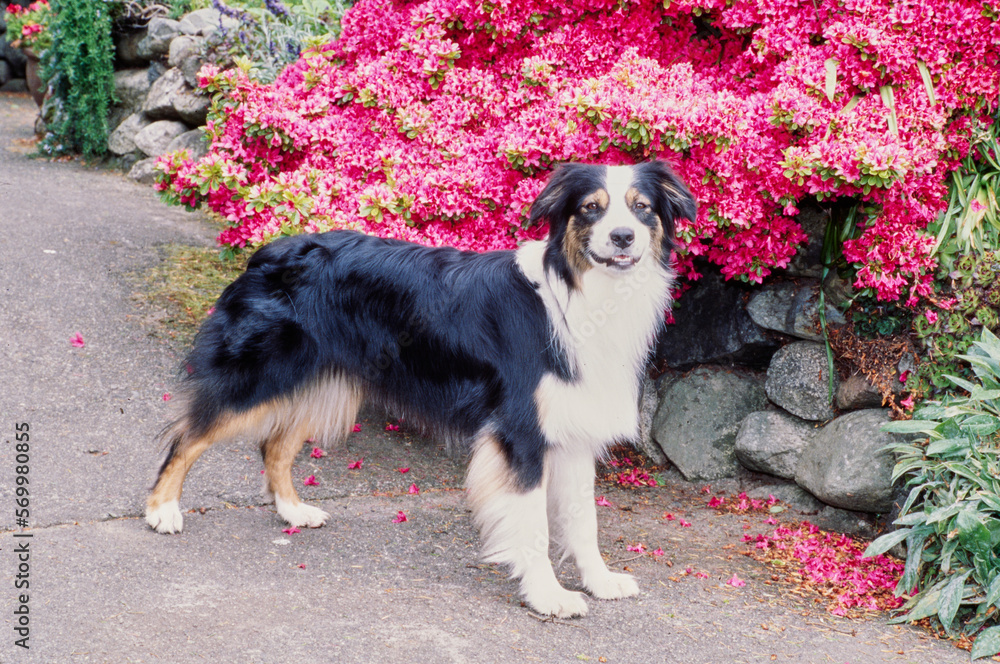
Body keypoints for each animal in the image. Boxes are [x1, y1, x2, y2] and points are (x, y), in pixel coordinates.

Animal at [146, 161, 696, 616]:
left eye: (642, 208)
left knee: (274, 446)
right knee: (188, 435)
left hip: (323, 380)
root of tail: (268, 250)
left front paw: (599, 582)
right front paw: (548, 597)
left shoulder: (573, 429)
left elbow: (584, 523)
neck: (582, 292)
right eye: (590, 209)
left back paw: (292, 510)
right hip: (261, 374)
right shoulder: (521, 431)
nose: (622, 237)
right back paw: (161, 510)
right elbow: (535, 527)